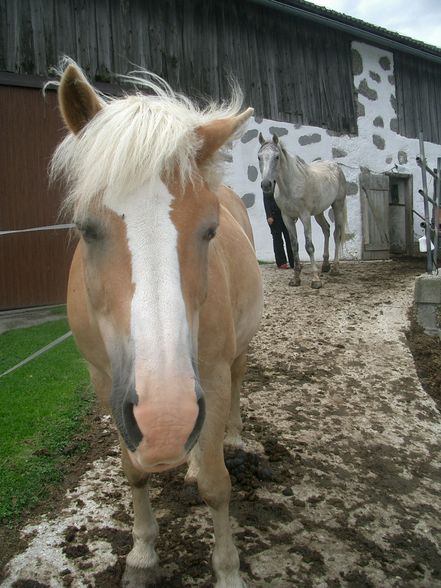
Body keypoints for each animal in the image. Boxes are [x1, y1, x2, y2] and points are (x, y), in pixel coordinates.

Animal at [52, 62, 262, 584]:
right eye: (85, 227)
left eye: (209, 229)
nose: (165, 420)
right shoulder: (104, 378)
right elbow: (134, 472)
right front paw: (142, 555)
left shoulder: (209, 374)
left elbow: (216, 485)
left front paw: (228, 571)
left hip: (233, 359)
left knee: (233, 394)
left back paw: (233, 439)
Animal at [258, 134, 348, 290]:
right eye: (259, 157)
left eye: (277, 157)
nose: (266, 184)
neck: (290, 186)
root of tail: (335, 166)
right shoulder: (287, 218)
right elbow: (294, 246)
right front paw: (295, 279)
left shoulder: (304, 216)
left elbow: (309, 246)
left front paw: (315, 280)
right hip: (318, 212)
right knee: (326, 229)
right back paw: (325, 265)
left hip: (338, 205)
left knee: (337, 234)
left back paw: (335, 268)